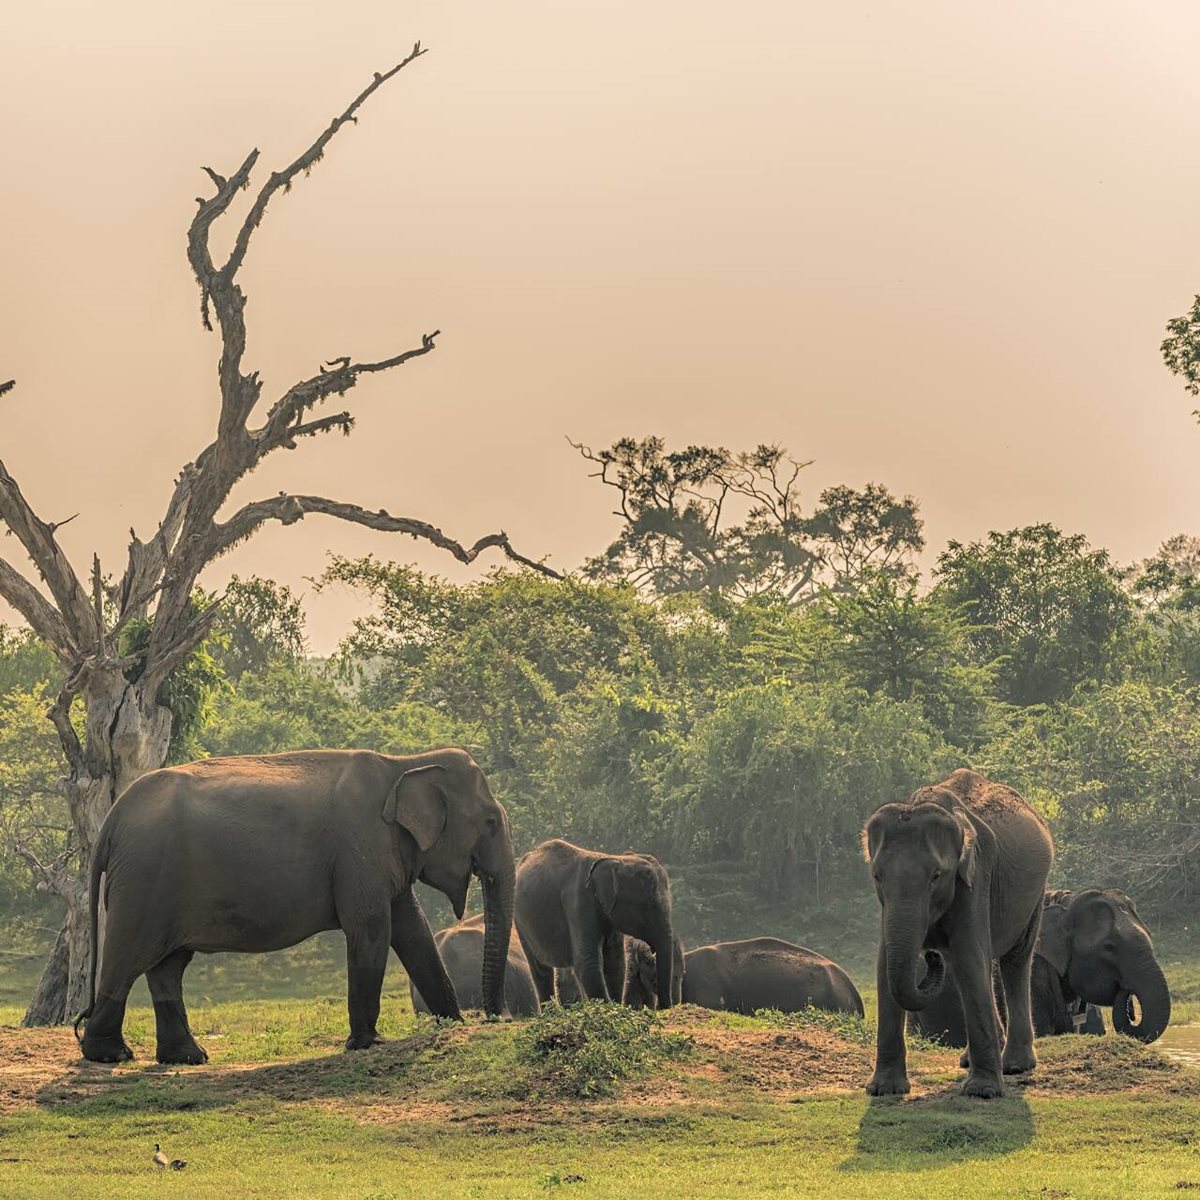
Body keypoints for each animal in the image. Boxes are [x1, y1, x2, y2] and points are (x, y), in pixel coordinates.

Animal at [73, 744, 516, 1065]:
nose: (498, 1017)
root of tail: (111, 820)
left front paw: (453, 1024)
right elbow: (372, 928)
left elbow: (412, 929)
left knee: (168, 966)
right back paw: (111, 1055)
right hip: (144, 880)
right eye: (492, 822)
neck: (405, 763)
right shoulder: (361, 849)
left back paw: (187, 1058)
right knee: (129, 956)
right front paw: (368, 1043)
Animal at [516, 840, 681, 1008]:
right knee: (540, 968)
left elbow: (616, 962)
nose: (663, 1008)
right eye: (647, 906)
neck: (614, 859)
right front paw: (607, 1008)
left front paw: (614, 1006)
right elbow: (587, 960)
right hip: (520, 921)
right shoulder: (580, 902)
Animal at [864, 768, 1051, 1099]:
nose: (931, 956)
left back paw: (1015, 1065)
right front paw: (883, 1090)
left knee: (1014, 961)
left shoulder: (976, 876)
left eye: (936, 876)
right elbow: (885, 963)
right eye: (876, 876)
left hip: (1035, 895)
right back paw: (970, 1060)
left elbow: (968, 958)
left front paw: (982, 1092)